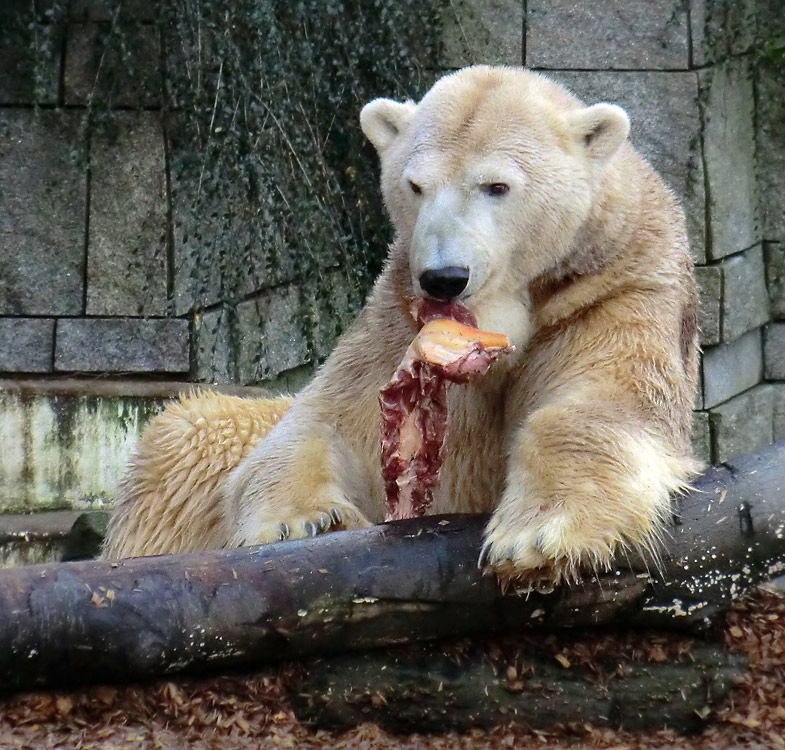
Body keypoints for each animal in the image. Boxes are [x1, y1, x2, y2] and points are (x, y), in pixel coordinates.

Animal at [104, 67, 700, 592]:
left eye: (496, 185)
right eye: (415, 185)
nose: (444, 277)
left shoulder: (614, 291)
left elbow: (603, 406)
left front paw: (537, 537)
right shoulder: (395, 319)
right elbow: (333, 425)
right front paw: (304, 520)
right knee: (192, 434)